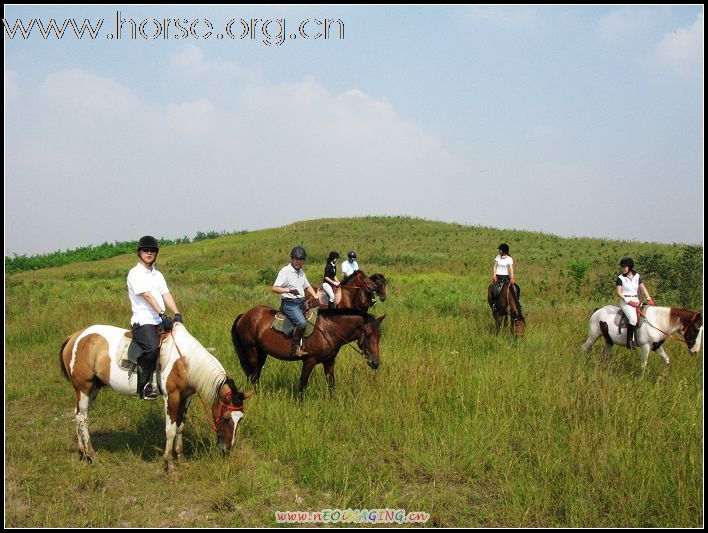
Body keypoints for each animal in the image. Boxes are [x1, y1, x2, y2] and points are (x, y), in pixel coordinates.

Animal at [59, 322, 254, 472]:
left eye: (241, 419)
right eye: (227, 418)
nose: (227, 450)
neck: (185, 363)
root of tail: (75, 336)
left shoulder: (186, 397)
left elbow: (180, 427)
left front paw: (181, 458)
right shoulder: (171, 397)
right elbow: (171, 429)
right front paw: (170, 464)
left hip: (93, 388)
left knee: (79, 415)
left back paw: (82, 452)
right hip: (83, 388)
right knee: (82, 418)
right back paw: (92, 456)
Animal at [231, 306, 388, 396]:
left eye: (379, 335)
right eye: (368, 334)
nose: (375, 362)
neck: (328, 330)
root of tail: (244, 315)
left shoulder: (329, 361)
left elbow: (331, 384)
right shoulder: (309, 360)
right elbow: (302, 383)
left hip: (262, 353)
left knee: (255, 375)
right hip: (252, 351)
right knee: (253, 376)